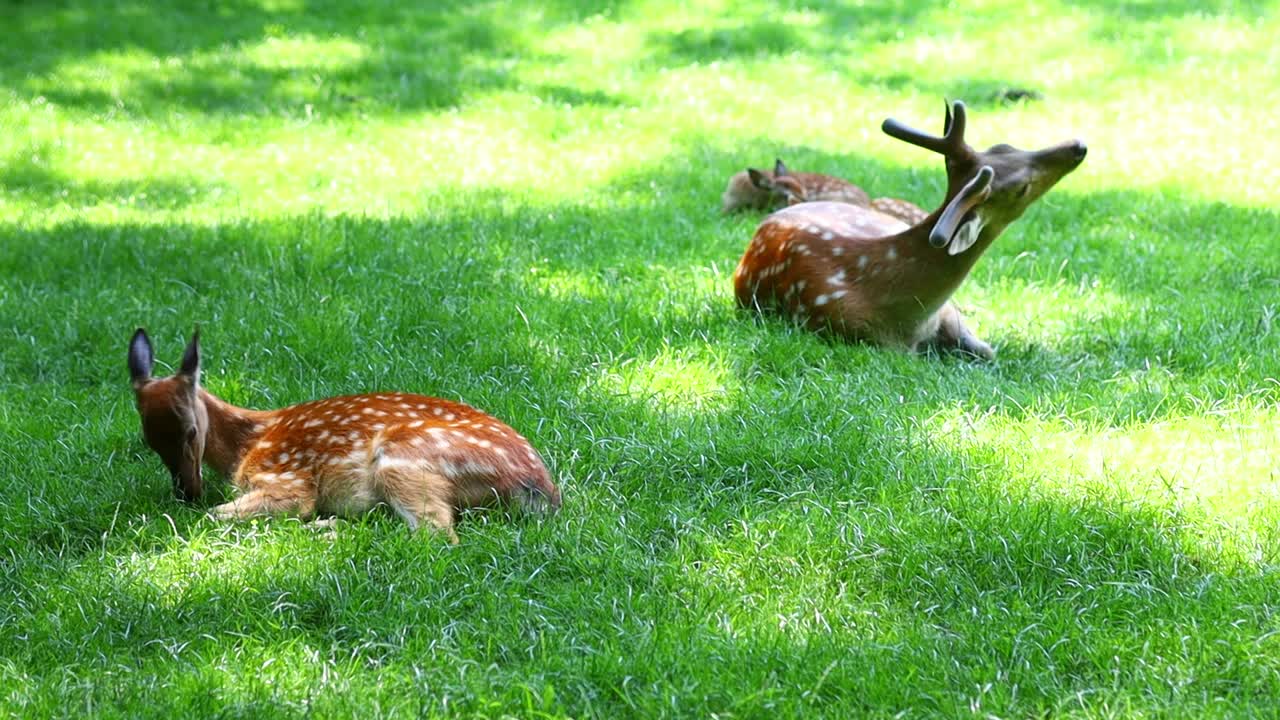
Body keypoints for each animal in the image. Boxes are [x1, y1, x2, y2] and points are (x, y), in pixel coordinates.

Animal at [128, 325, 560, 538]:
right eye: (148, 441)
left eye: (190, 431)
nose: (186, 491)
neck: (247, 442)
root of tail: (542, 489)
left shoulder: (287, 478)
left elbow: (217, 516)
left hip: (402, 456)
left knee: (436, 534)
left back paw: (329, 529)